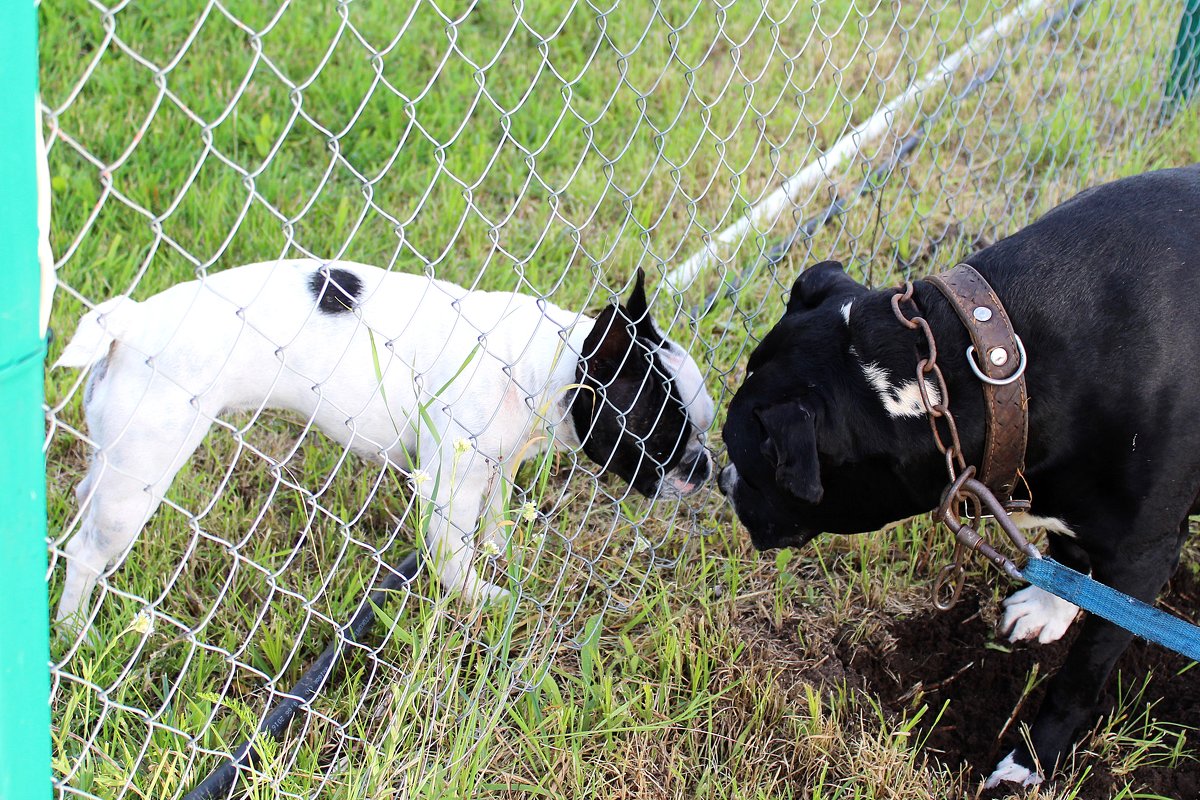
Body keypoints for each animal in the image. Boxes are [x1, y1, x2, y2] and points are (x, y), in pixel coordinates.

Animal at [56, 260, 710, 628]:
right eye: (659, 435)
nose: (703, 466)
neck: (546, 363)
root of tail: (131, 323)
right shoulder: (451, 483)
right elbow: (452, 555)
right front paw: (485, 597)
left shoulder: (497, 463)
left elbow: (496, 516)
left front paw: (504, 552)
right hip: (143, 470)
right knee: (85, 552)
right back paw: (72, 631)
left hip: (117, 457)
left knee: (87, 500)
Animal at [715, 164, 1200, 786]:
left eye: (752, 465)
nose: (723, 480)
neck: (991, 360)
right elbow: (1074, 562)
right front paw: (1051, 608)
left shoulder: (1145, 555)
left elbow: (1080, 675)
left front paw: (1031, 761)